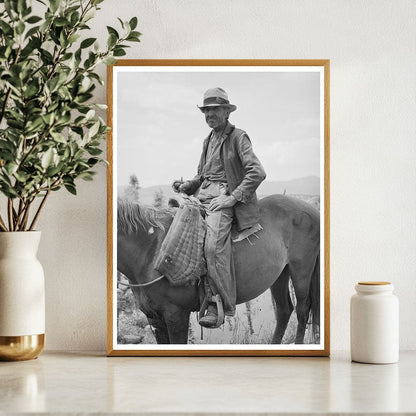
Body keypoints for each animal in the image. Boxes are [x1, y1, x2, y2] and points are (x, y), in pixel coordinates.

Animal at [118, 195, 322, 344]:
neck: (150, 249)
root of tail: (313, 210)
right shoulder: (155, 318)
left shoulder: (176, 315)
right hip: (280, 275)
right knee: (284, 310)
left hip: (301, 270)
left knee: (302, 310)